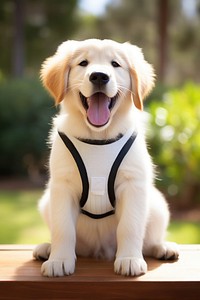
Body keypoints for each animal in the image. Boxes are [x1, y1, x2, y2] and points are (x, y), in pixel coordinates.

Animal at [33, 39, 179, 276]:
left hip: (157, 205)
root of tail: (100, 250)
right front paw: (59, 260)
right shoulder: (62, 186)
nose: (99, 76)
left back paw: (163, 247)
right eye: (83, 63)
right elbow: (63, 228)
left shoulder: (133, 184)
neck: (98, 137)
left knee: (148, 242)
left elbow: (130, 226)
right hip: (47, 203)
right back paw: (47, 248)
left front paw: (129, 259)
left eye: (115, 64)